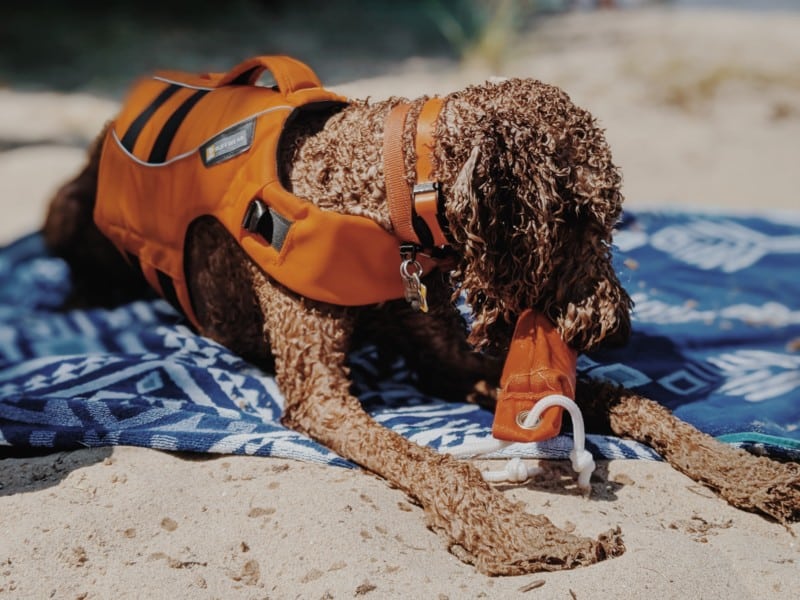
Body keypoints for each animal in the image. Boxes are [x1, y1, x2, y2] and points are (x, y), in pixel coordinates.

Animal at [45, 64, 800, 572]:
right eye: (583, 217)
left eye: (611, 218)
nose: (615, 329)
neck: (376, 198)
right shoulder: (320, 395)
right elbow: (439, 466)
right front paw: (524, 536)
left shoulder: (450, 361)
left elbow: (636, 402)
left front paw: (748, 474)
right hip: (69, 214)